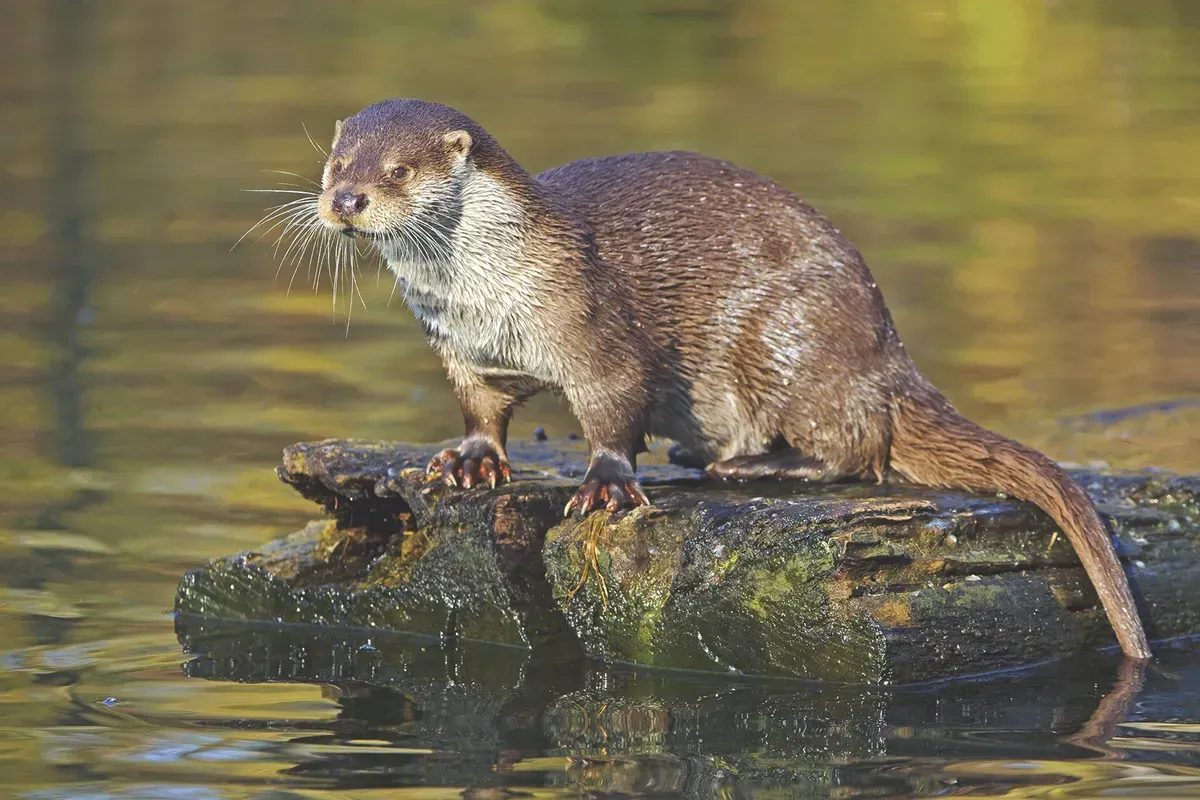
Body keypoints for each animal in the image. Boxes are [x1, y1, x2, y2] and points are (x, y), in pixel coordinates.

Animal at [304, 97, 1147, 662]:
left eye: (399, 170)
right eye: (335, 163)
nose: (346, 200)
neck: (486, 294)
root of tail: (887, 352)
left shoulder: (593, 329)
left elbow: (616, 408)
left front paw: (607, 485)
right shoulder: (463, 351)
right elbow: (481, 409)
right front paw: (470, 460)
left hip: (787, 341)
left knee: (858, 446)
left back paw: (747, 464)